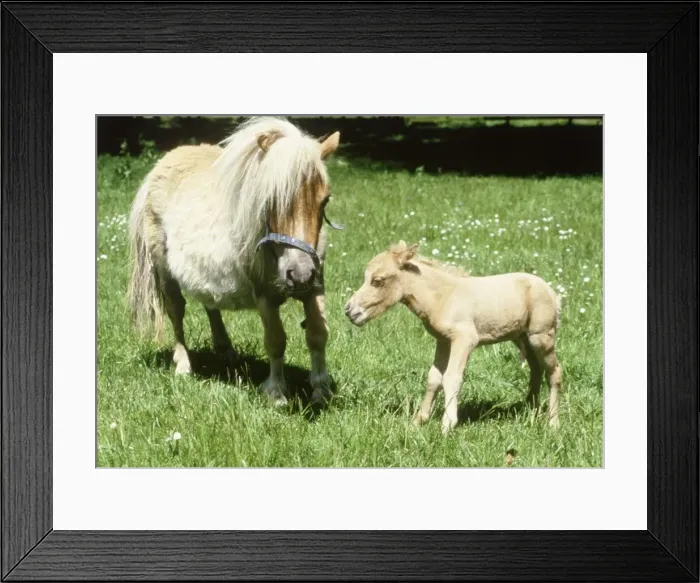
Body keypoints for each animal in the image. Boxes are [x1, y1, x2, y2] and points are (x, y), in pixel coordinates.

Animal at [127, 116, 343, 406]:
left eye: (325, 199)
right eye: (271, 199)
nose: (299, 273)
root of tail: (159, 167)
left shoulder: (315, 286)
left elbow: (318, 334)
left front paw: (321, 391)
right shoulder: (264, 295)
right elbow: (276, 340)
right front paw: (276, 393)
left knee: (210, 304)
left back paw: (225, 349)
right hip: (164, 270)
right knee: (176, 311)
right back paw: (183, 365)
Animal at [344, 241, 562, 434]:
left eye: (377, 281)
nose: (349, 311)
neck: (442, 297)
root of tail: (552, 292)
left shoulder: (465, 339)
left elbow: (451, 377)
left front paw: (447, 425)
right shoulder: (443, 341)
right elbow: (434, 378)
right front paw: (419, 421)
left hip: (541, 336)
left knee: (554, 372)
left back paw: (552, 423)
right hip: (521, 337)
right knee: (536, 369)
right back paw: (530, 411)